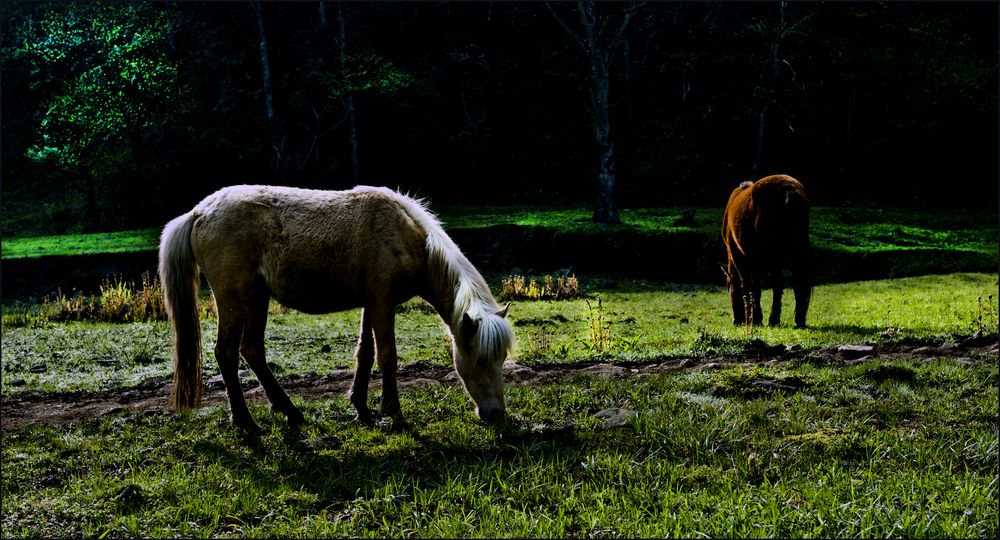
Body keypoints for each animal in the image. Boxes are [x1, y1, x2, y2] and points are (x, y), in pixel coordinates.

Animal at [161, 186, 516, 434]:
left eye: (500, 359)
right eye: (480, 360)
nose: (496, 414)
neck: (408, 236)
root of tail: (198, 213)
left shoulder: (371, 303)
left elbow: (366, 353)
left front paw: (362, 408)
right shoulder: (383, 303)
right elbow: (388, 356)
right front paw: (394, 414)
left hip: (257, 298)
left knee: (252, 351)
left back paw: (290, 412)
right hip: (235, 298)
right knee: (227, 353)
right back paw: (247, 422)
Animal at [724, 175, 808, 330]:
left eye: (728, 287)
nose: (735, 320)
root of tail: (788, 190)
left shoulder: (741, 257)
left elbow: (749, 287)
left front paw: (753, 318)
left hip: (771, 255)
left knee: (777, 282)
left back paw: (773, 319)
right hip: (796, 251)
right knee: (798, 281)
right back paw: (799, 320)